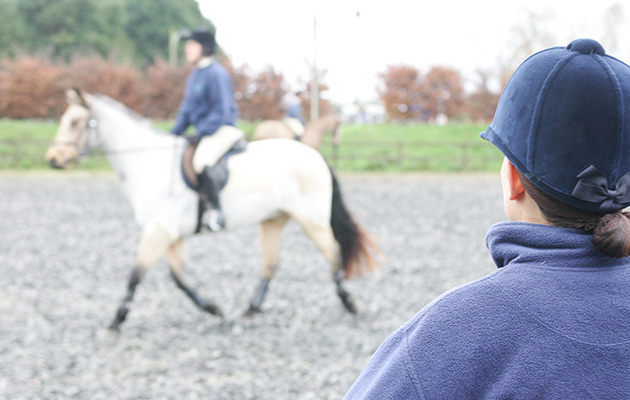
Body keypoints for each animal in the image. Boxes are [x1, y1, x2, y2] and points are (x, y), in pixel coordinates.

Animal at [45, 90, 380, 332]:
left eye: (75, 122)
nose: (53, 159)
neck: (148, 164)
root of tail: (315, 155)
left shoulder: (158, 230)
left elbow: (135, 276)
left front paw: (117, 319)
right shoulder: (172, 234)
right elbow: (179, 279)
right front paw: (214, 309)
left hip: (312, 220)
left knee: (333, 252)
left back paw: (349, 304)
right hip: (272, 220)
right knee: (271, 263)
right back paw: (251, 308)